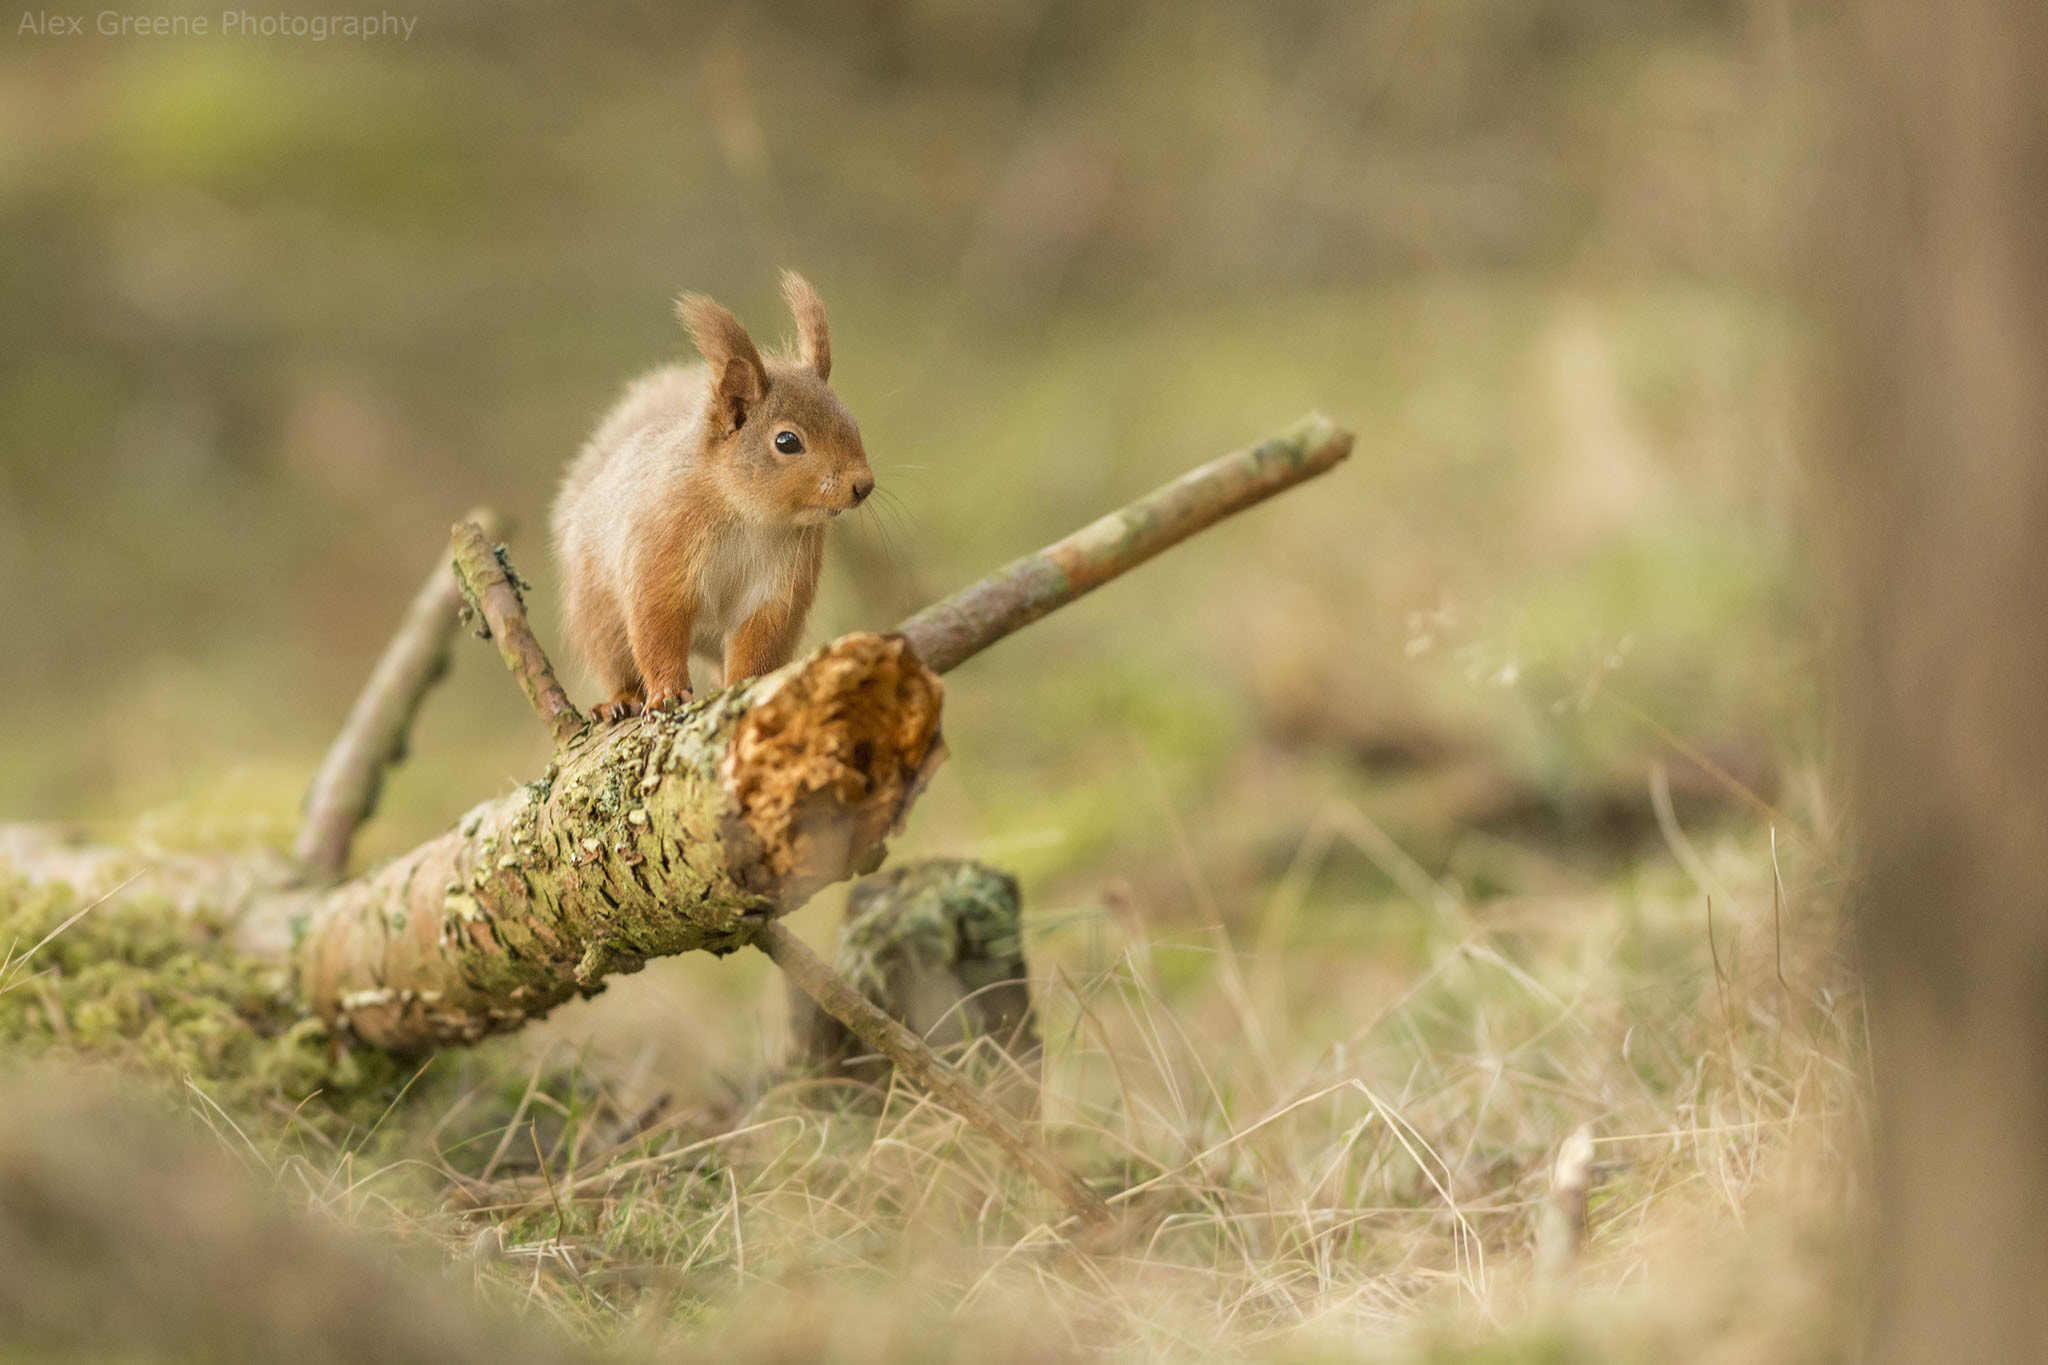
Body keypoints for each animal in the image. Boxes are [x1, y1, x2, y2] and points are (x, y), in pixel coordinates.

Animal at [552, 272, 872, 720]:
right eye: (787, 441)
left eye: (851, 423)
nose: (864, 484)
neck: (746, 514)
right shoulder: (660, 551)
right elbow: (657, 628)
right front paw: (666, 691)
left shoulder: (776, 590)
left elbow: (758, 640)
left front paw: (745, 685)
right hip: (597, 615)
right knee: (616, 661)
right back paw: (618, 701)